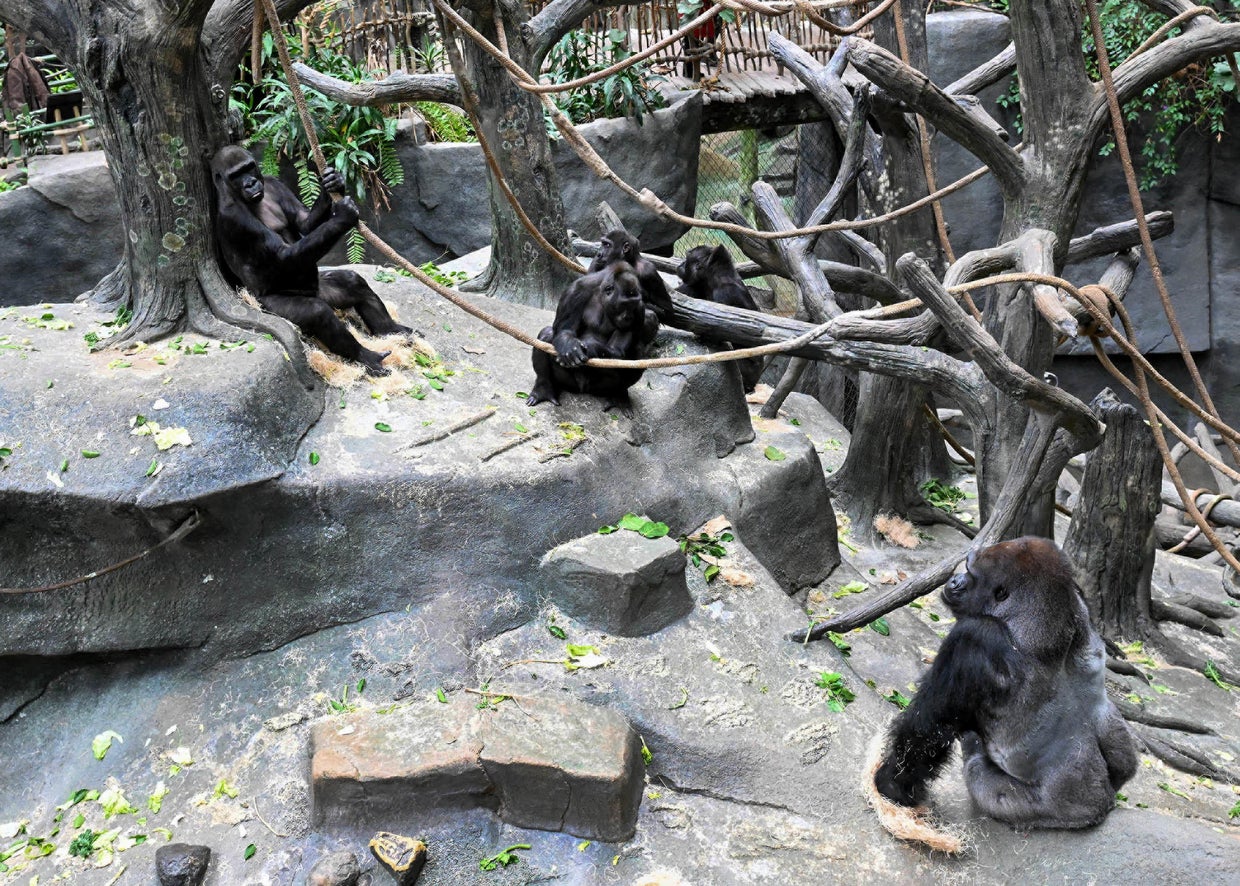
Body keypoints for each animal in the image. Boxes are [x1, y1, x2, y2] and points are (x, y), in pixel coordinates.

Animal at [211, 146, 411, 376]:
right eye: (236, 175)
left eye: (249, 168)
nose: (251, 183)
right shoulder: (236, 217)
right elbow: (282, 257)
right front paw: (342, 217)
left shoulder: (273, 183)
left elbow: (303, 223)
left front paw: (333, 183)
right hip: (265, 305)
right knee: (318, 312)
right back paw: (365, 356)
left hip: (323, 290)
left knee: (352, 281)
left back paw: (390, 330)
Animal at [527, 261, 656, 416]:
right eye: (625, 304)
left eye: (633, 306)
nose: (629, 317)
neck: (601, 294)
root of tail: (583, 390)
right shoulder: (576, 291)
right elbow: (565, 330)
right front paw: (570, 346)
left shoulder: (640, 307)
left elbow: (617, 351)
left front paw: (589, 348)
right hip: (568, 382)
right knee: (546, 335)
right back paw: (543, 388)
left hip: (599, 388)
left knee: (636, 356)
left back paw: (619, 395)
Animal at [873, 537, 1137, 830]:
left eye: (971, 573)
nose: (954, 580)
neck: (1034, 621)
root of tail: (1100, 802)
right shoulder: (1079, 604)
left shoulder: (975, 636)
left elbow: (925, 732)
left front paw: (891, 786)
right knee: (1121, 747)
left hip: (1045, 812)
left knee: (977, 770)